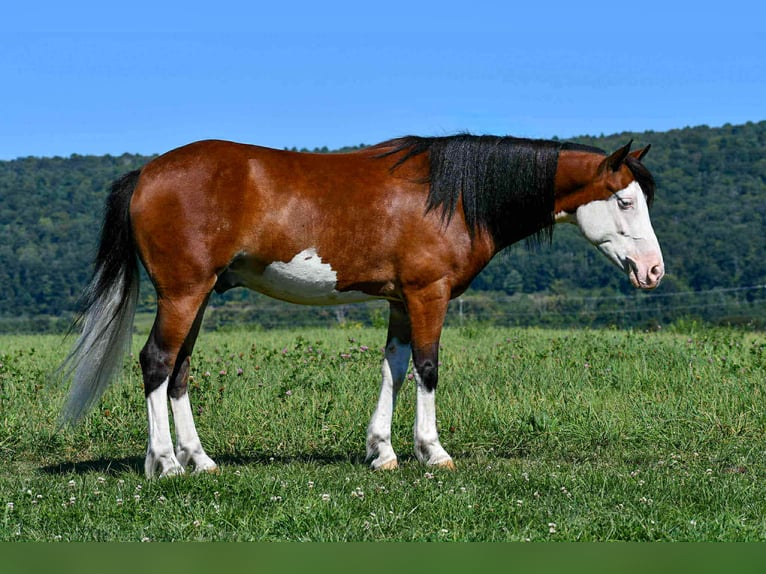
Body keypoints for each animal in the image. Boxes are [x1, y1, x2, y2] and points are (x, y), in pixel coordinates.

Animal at [59, 134, 664, 477]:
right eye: (624, 200)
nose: (654, 271)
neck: (452, 194)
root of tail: (146, 172)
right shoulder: (427, 293)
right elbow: (426, 368)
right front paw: (432, 452)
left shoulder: (400, 300)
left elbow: (392, 368)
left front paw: (383, 451)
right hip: (183, 293)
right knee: (157, 363)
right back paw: (164, 464)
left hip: (200, 295)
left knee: (179, 370)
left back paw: (200, 461)